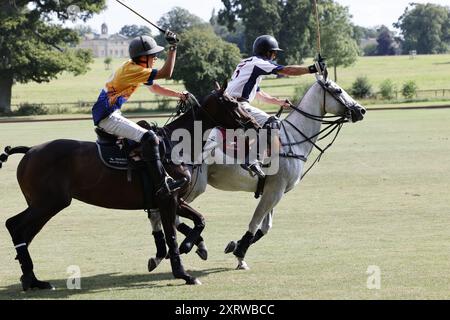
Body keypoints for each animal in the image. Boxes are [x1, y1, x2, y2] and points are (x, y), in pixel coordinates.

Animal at [1, 85, 258, 290]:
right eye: (232, 103)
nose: (253, 124)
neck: (177, 145)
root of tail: (30, 151)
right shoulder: (167, 199)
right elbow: (172, 235)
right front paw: (184, 272)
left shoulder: (174, 200)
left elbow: (200, 220)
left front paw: (191, 246)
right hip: (49, 203)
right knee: (14, 225)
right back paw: (32, 279)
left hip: (44, 204)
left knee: (24, 231)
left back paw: (32, 280)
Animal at [148, 76, 366, 272]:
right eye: (338, 90)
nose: (361, 110)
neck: (293, 138)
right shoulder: (275, 191)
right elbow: (255, 223)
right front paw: (240, 255)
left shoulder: (275, 190)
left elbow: (264, 227)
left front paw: (234, 246)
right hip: (193, 186)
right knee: (163, 214)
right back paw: (174, 250)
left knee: (163, 215)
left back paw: (178, 250)